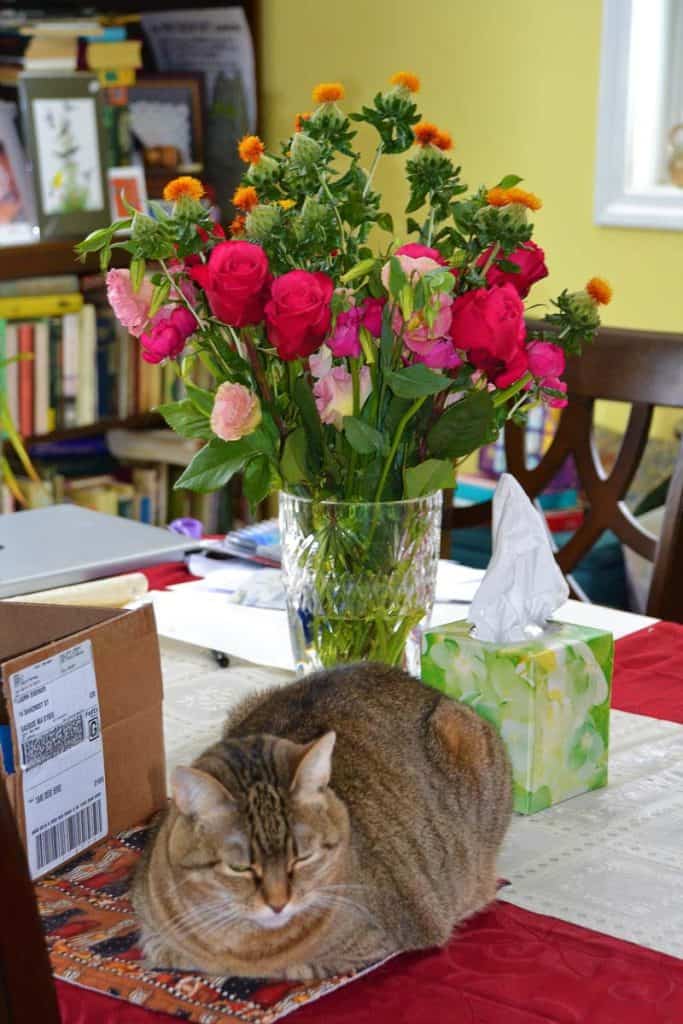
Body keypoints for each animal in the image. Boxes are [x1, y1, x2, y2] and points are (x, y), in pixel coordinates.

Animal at [133, 659, 509, 978]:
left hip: (464, 735)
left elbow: (295, 967)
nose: (278, 903)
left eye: (303, 857)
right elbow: (163, 947)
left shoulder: (377, 940)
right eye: (240, 867)